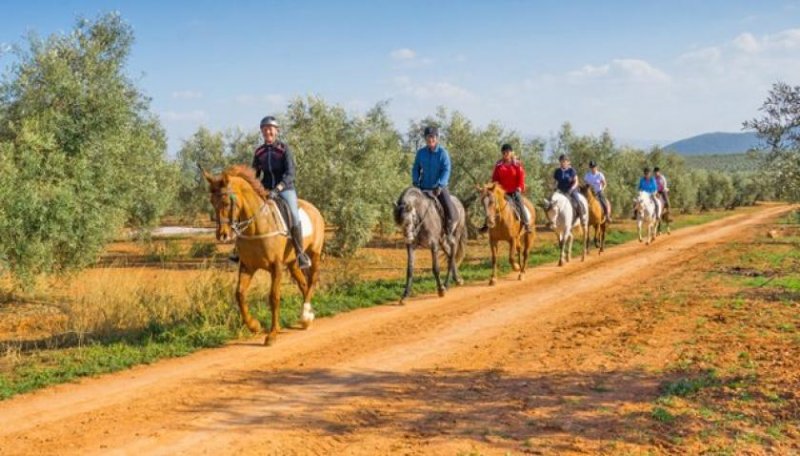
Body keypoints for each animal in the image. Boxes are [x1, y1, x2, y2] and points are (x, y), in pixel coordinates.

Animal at [202, 166, 324, 344]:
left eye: (226, 202)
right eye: (212, 202)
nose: (222, 235)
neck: (257, 226)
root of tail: (314, 208)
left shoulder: (276, 267)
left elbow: (274, 297)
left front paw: (272, 334)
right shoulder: (247, 267)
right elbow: (239, 294)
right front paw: (254, 326)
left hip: (314, 254)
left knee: (312, 280)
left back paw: (305, 315)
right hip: (292, 262)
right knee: (303, 284)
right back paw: (306, 319)